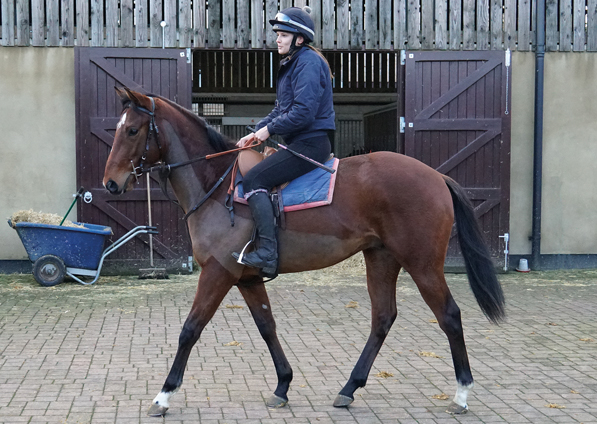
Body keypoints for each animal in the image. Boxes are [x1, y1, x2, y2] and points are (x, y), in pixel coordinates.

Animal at [102, 88, 502, 418]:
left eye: (133, 131)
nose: (111, 183)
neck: (217, 185)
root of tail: (436, 177)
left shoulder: (218, 273)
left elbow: (190, 329)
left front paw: (163, 395)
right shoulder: (246, 278)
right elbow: (267, 327)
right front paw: (282, 384)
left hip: (422, 264)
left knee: (449, 316)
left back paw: (461, 394)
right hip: (381, 258)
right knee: (383, 318)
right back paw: (349, 388)